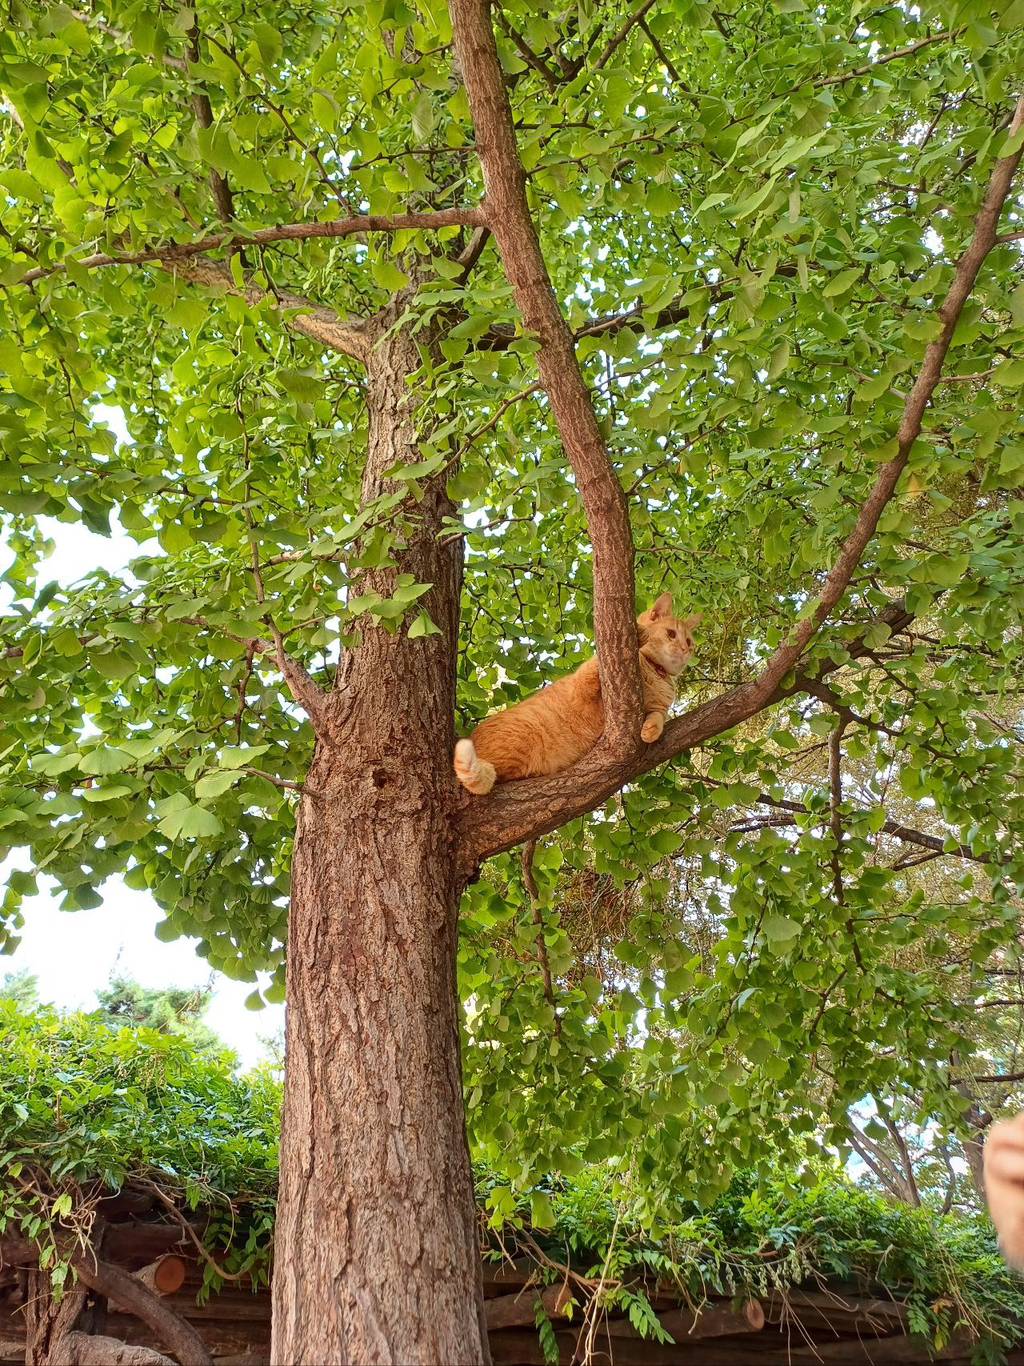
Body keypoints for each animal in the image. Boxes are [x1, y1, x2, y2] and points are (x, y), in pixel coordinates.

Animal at [456, 592, 704, 797]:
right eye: (671, 634)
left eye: (689, 642)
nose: (685, 650)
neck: (654, 672)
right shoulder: (582, 688)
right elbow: (595, 664)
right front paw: (639, 633)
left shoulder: (658, 707)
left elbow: (659, 717)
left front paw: (651, 730)